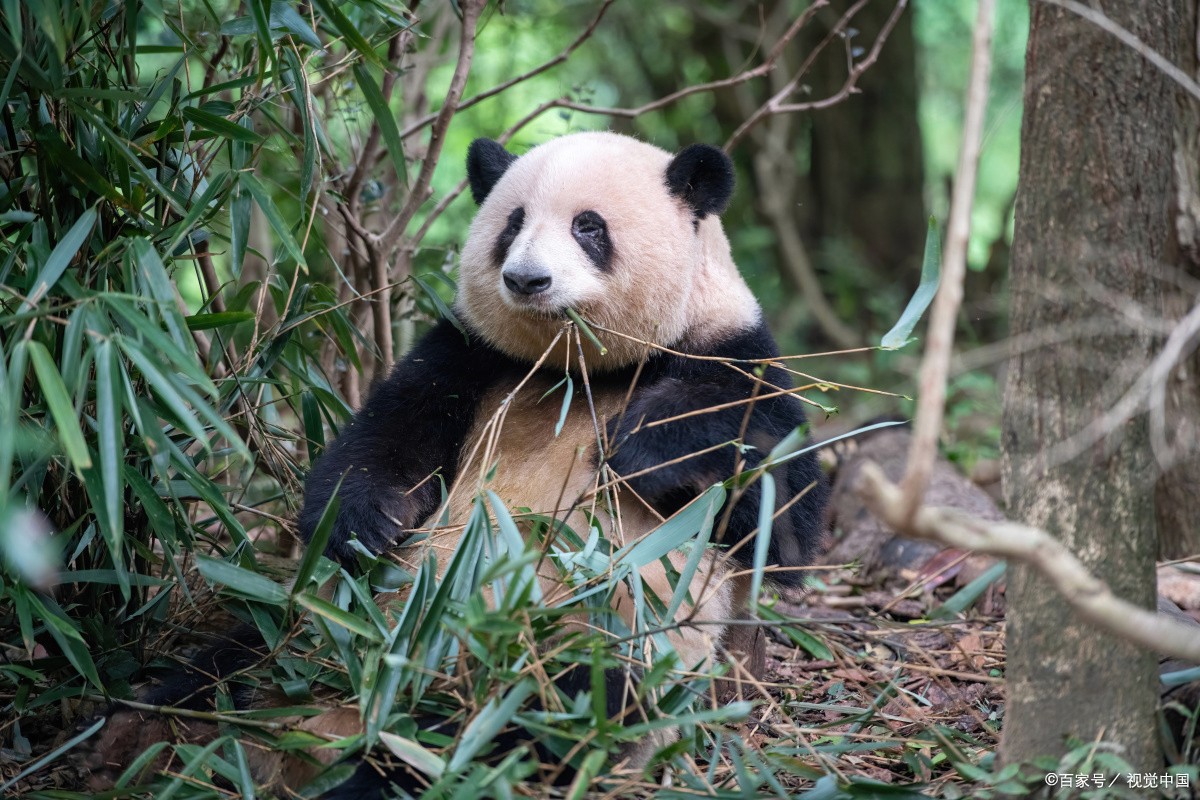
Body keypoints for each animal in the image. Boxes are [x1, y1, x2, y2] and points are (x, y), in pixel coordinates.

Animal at [86, 132, 828, 797]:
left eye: (589, 226)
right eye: (513, 222)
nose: (527, 279)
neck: (578, 371)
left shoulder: (733, 355)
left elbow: (780, 515)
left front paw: (638, 449)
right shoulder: (472, 358)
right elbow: (386, 438)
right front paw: (365, 523)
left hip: (582, 647)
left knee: (538, 722)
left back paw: (376, 768)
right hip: (315, 622)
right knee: (234, 659)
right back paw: (142, 730)